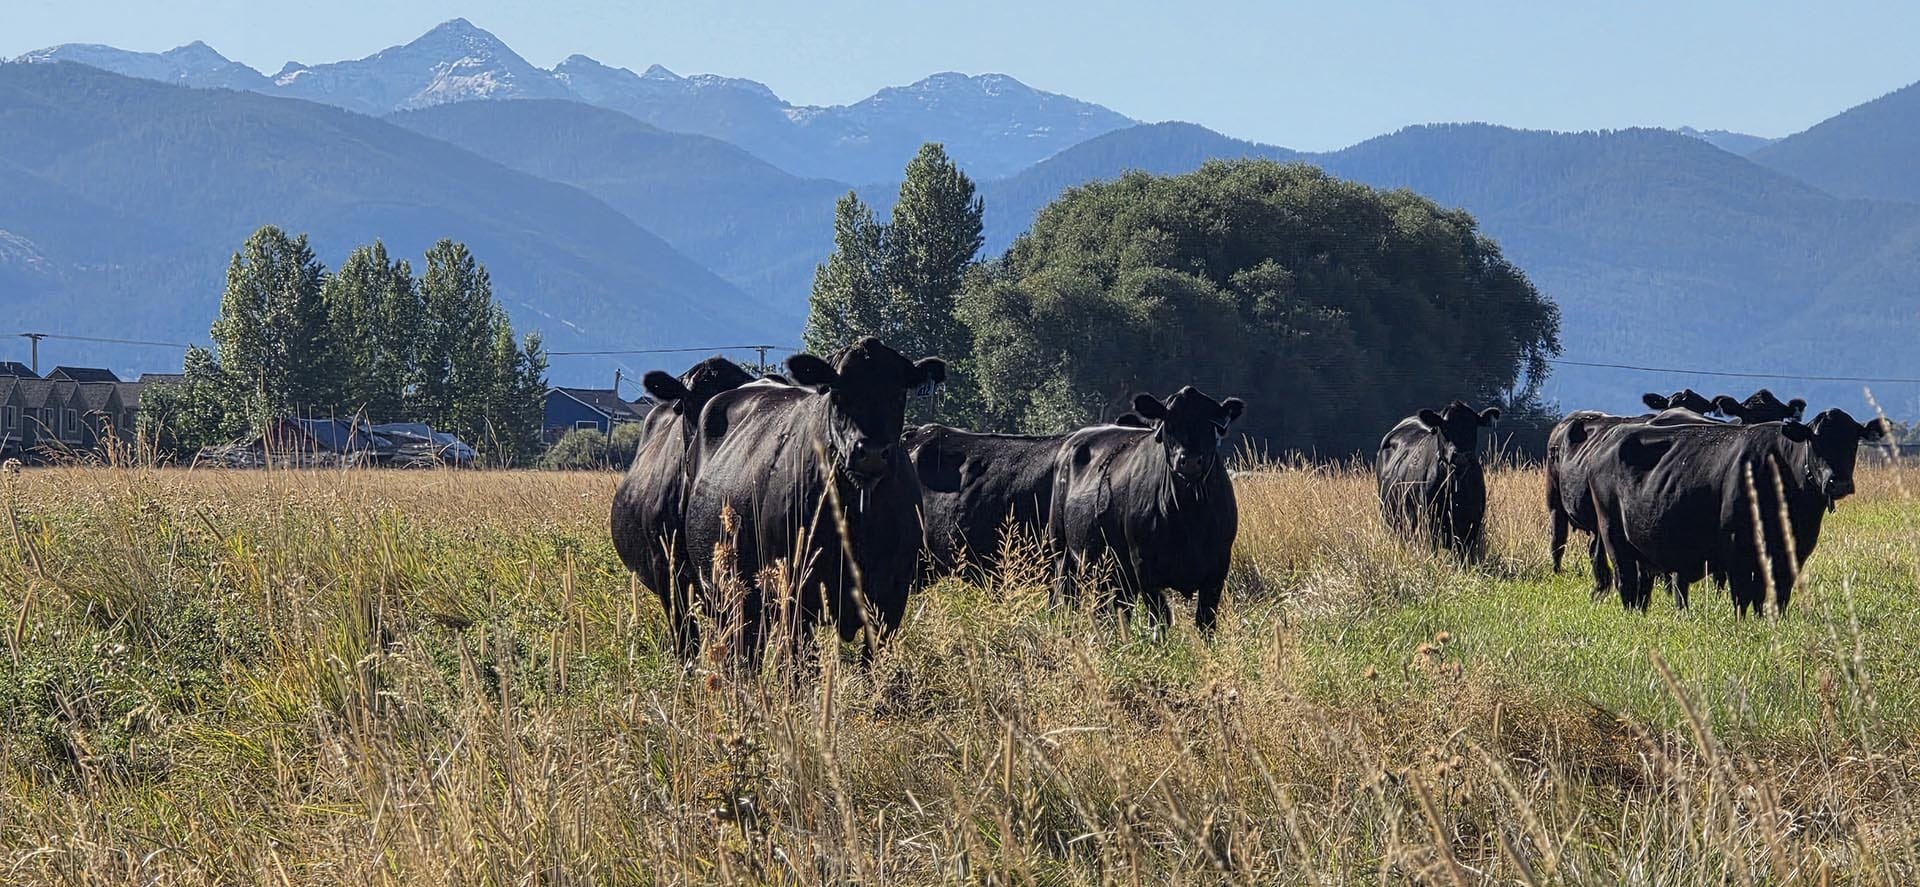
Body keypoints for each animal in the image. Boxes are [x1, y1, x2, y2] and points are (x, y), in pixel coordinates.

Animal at [682, 338, 945, 662]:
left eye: (898, 394)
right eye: (838, 391)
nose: (870, 453)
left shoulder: (891, 598)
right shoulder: (795, 593)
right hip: (726, 592)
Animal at [1048, 387, 1245, 632]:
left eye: (1209, 425)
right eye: (1169, 424)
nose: (1189, 461)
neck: (1189, 517)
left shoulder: (1218, 567)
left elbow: (1205, 621)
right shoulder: (1144, 565)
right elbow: (1160, 618)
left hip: (1111, 572)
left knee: (1114, 609)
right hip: (1063, 552)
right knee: (1070, 599)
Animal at [1586, 409, 1889, 613]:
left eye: (1852, 442)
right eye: (1815, 441)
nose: (1838, 482)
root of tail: (1611, 438)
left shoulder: (1793, 553)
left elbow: (1777, 595)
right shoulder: (1737, 551)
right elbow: (1744, 596)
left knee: (1642, 586)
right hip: (1613, 535)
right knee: (1626, 582)